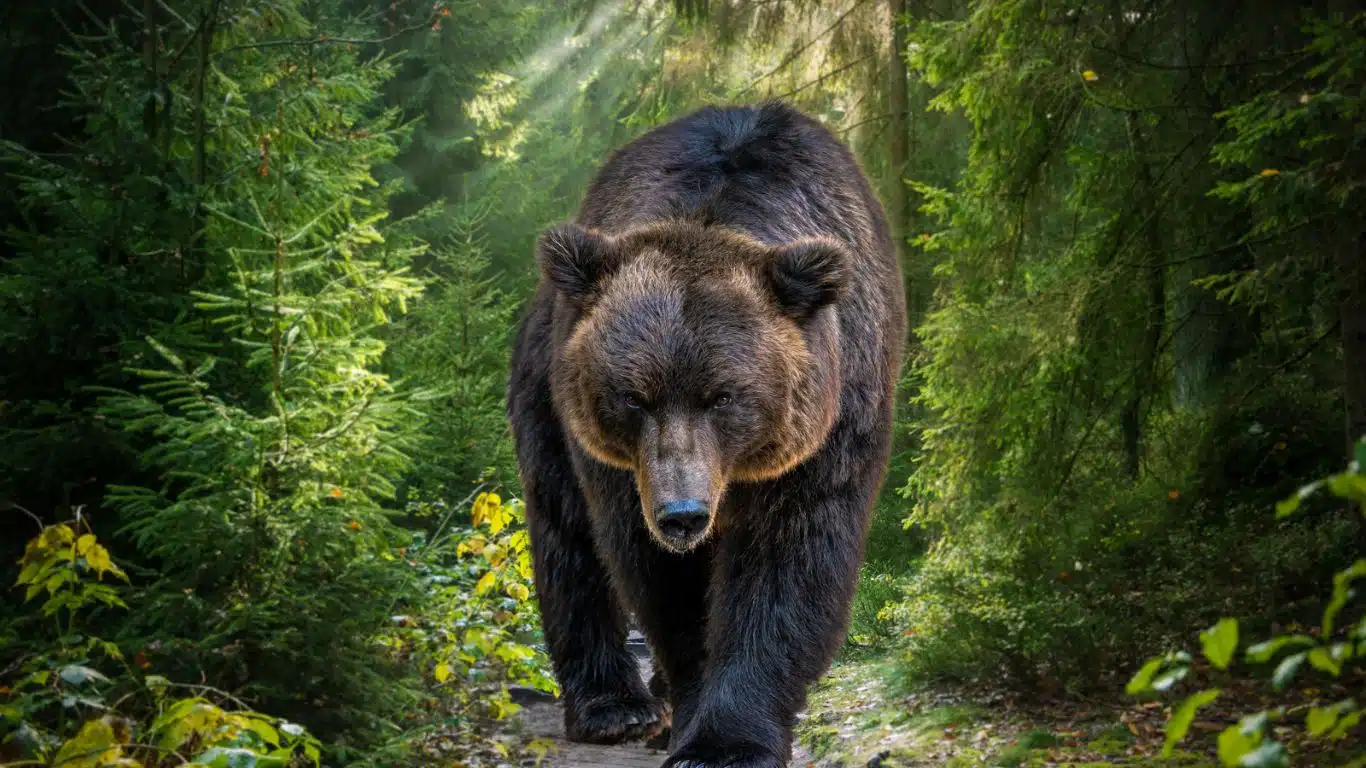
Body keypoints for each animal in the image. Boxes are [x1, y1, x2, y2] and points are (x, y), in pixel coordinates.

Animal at [506, 100, 905, 768]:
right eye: (633, 396)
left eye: (724, 395)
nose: (683, 514)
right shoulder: (624, 466)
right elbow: (660, 577)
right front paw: (693, 715)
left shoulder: (828, 424)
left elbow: (787, 562)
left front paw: (728, 741)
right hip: (545, 387)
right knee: (567, 532)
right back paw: (615, 707)